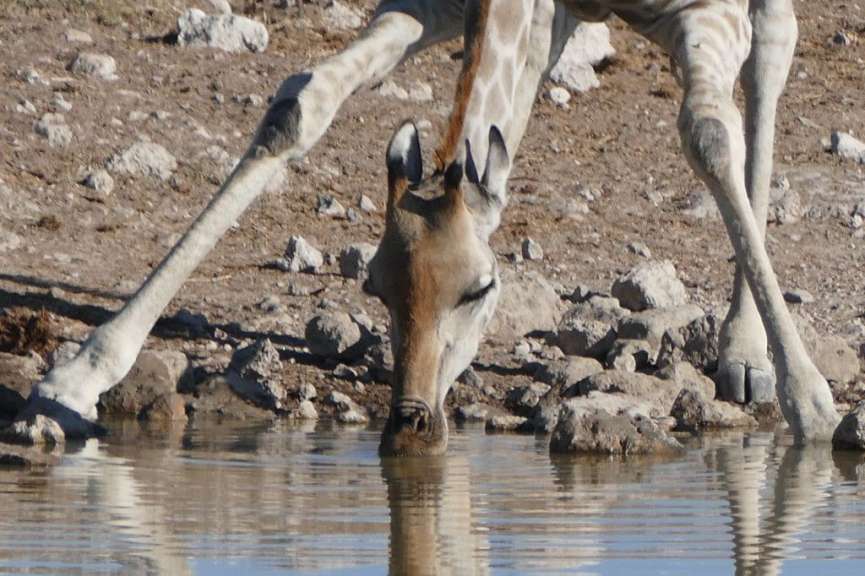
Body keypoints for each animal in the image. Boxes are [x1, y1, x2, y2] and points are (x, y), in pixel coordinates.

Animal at [3, 0, 841, 453]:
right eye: (373, 286)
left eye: (481, 289)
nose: (407, 424)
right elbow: (299, 103)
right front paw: (78, 373)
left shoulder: (703, 13)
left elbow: (710, 138)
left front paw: (809, 403)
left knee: (773, 55)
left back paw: (747, 356)